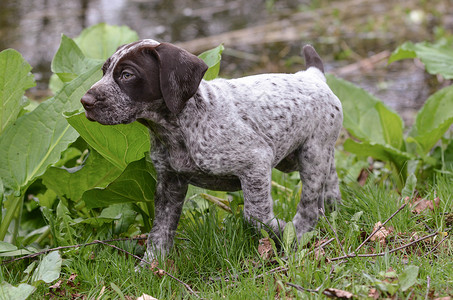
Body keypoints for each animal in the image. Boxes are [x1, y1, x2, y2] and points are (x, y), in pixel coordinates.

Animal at [81, 39, 342, 260]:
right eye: (104, 72)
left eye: (127, 75)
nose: (85, 101)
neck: (178, 128)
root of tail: (312, 75)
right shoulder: (169, 183)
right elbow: (160, 232)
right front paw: (151, 268)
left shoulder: (256, 163)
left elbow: (256, 216)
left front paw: (282, 232)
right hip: (305, 156)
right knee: (330, 183)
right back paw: (334, 211)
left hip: (312, 153)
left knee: (309, 205)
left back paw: (298, 234)